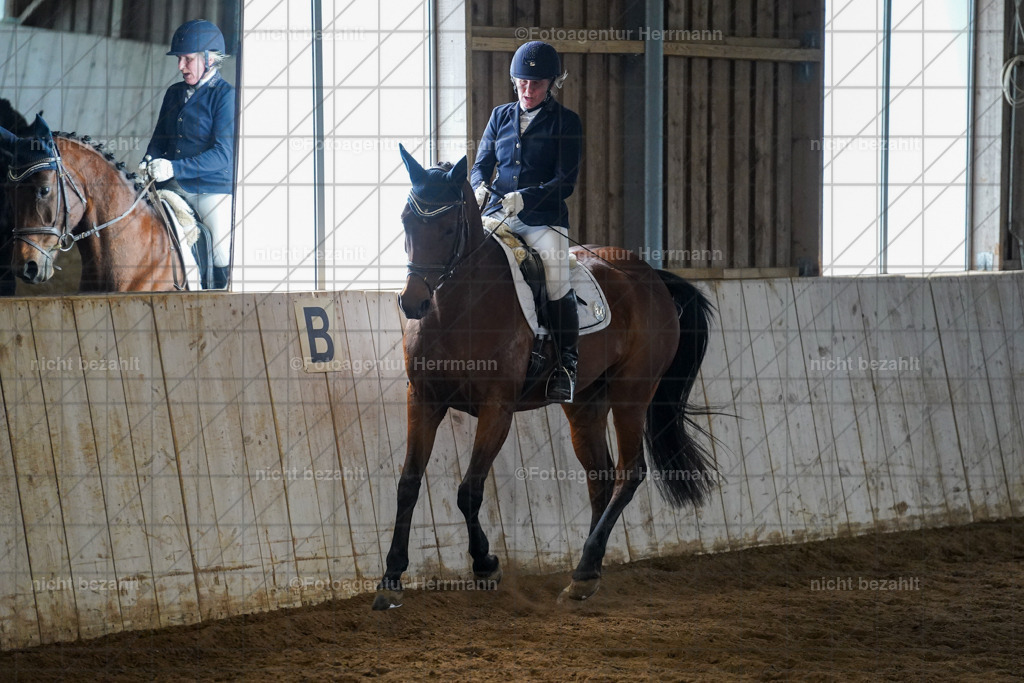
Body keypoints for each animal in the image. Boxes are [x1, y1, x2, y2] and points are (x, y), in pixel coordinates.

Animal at [373, 145, 717, 610]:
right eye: (407, 221)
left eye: (447, 227)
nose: (413, 303)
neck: (457, 309)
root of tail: (650, 275)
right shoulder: (423, 398)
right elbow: (408, 483)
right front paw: (391, 578)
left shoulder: (497, 409)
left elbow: (469, 490)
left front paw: (485, 564)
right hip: (586, 402)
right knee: (600, 477)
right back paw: (588, 571)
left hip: (632, 393)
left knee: (629, 473)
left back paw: (585, 569)